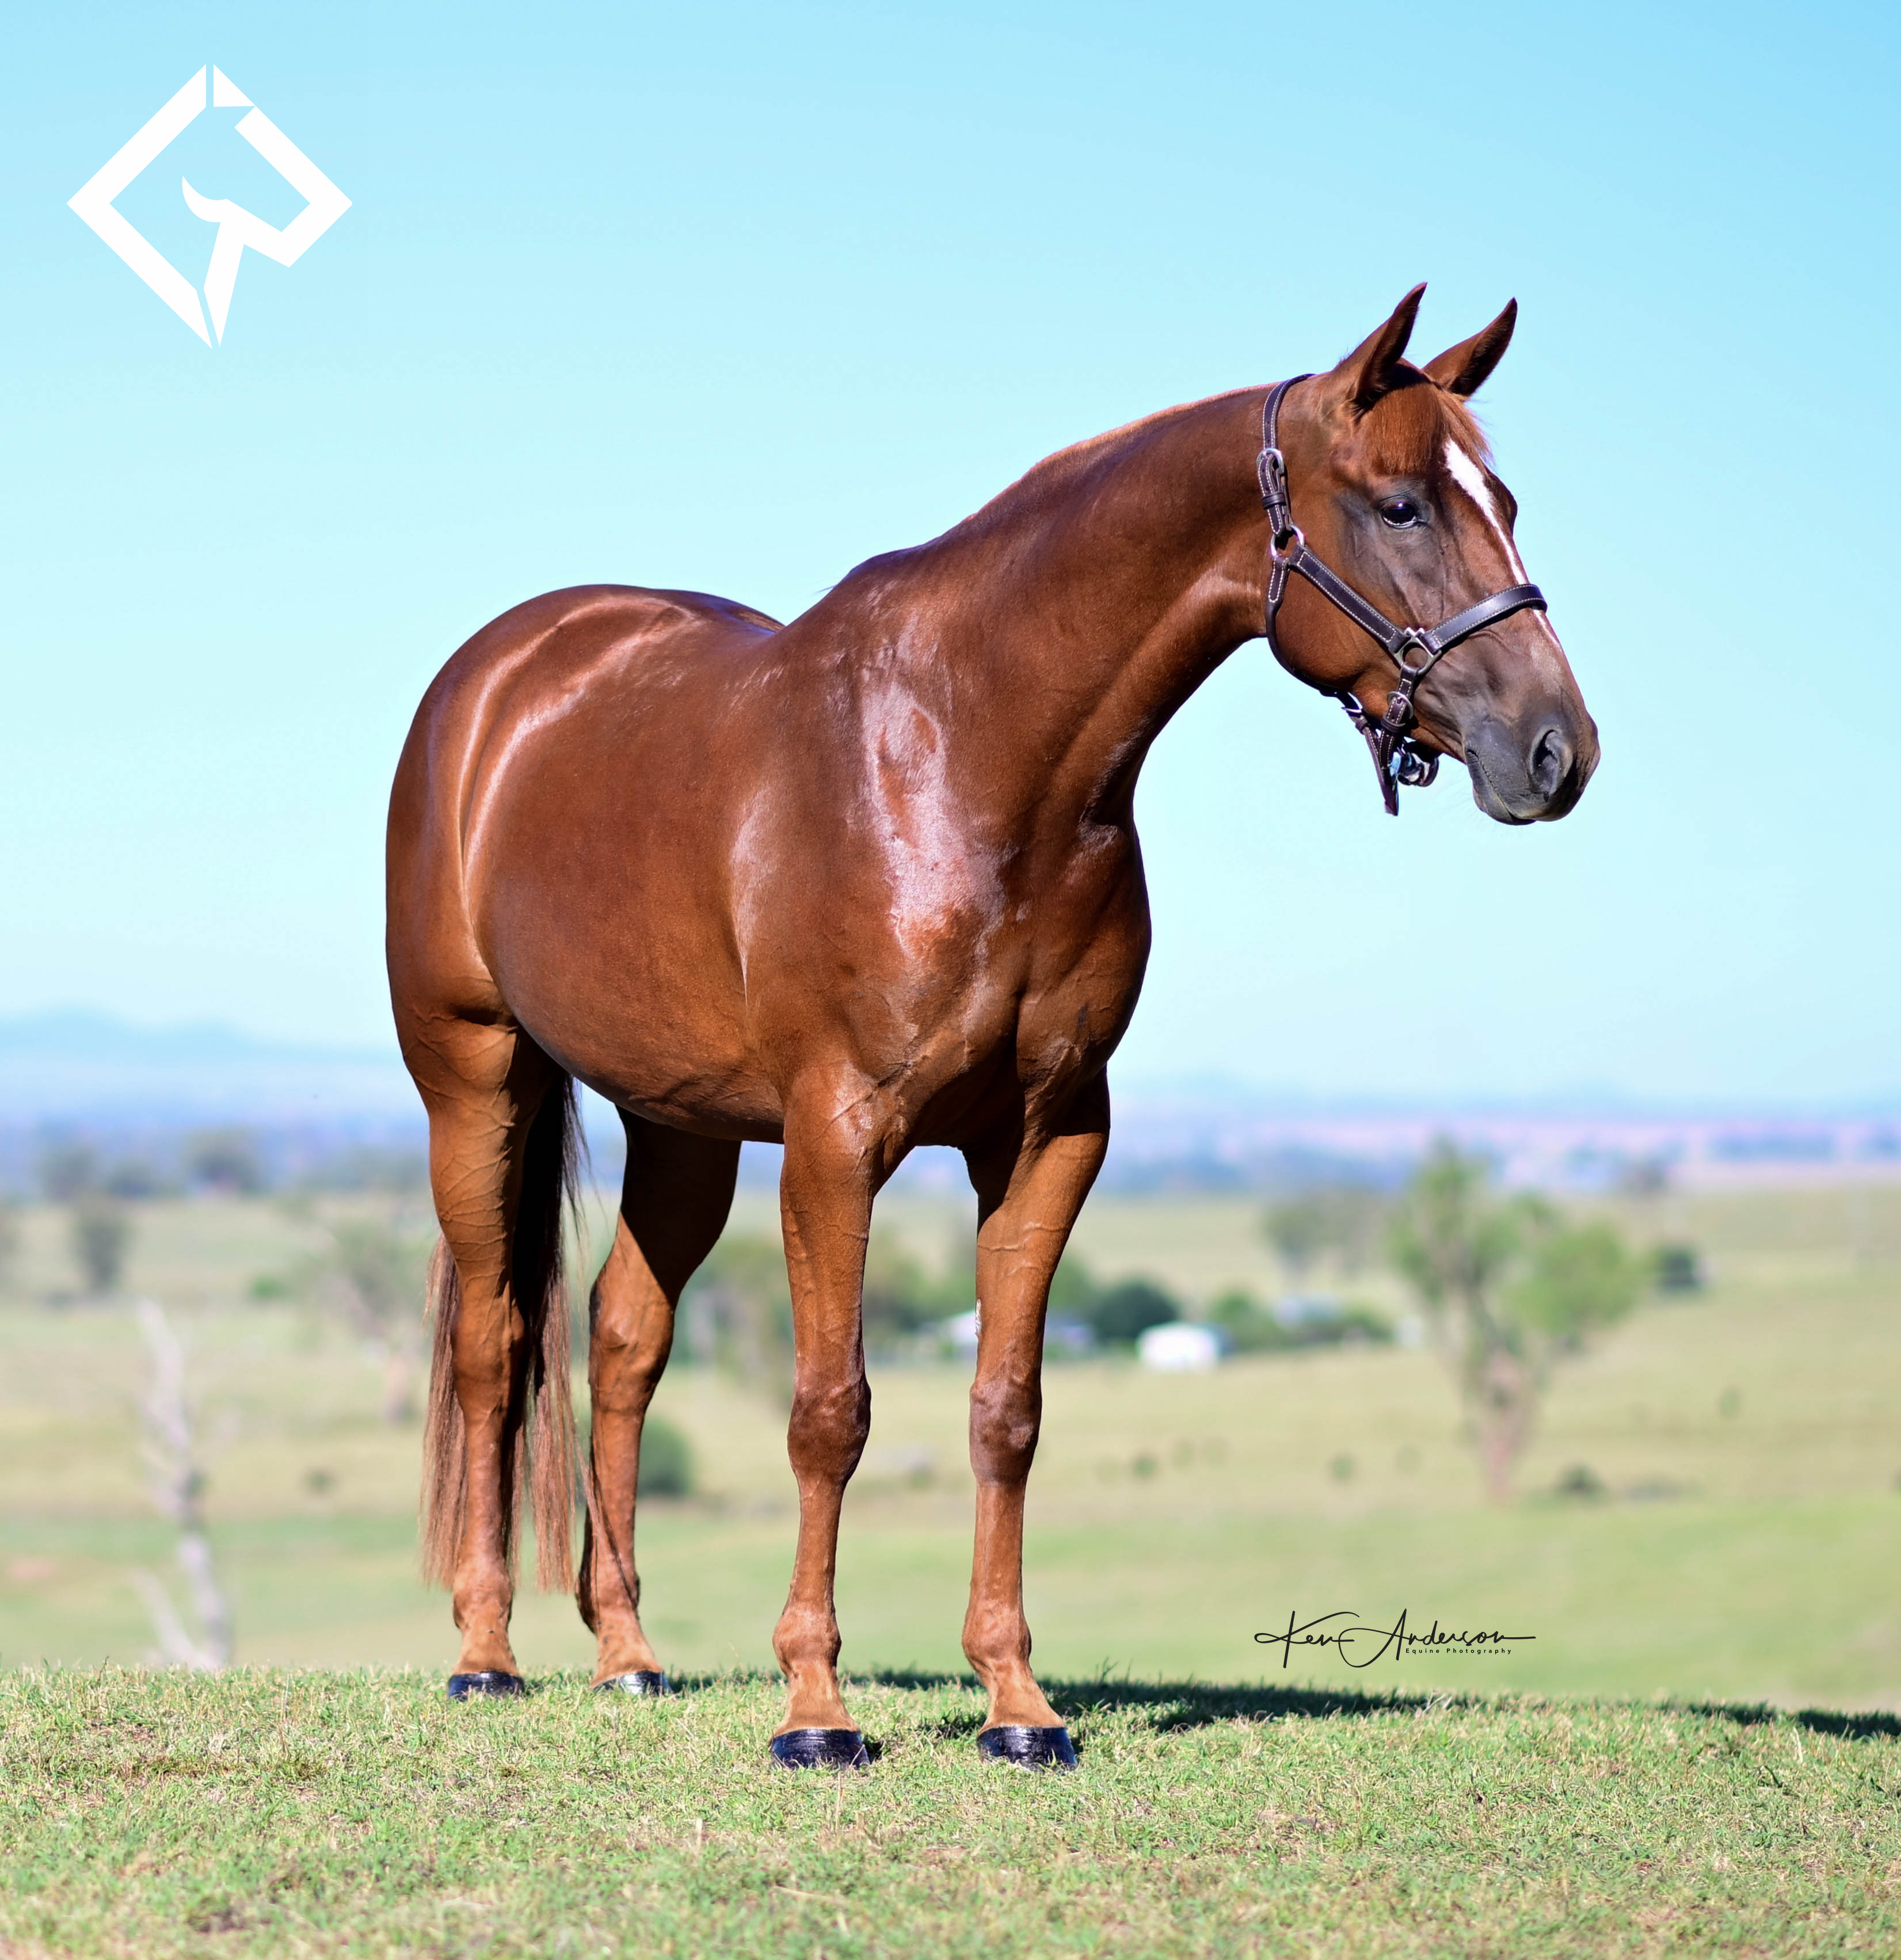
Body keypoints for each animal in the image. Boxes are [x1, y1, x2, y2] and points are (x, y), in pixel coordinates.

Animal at [385, 284, 1598, 1769]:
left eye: (1505, 500)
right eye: (1400, 504)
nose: (1553, 748)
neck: (968, 756)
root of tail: (501, 675)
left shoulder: (1046, 1133)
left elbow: (1004, 1410)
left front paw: (1017, 1704)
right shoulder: (836, 1136)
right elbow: (829, 1411)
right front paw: (815, 1708)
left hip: (679, 1122)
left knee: (621, 1342)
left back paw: (626, 1655)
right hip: (476, 1074)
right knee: (494, 1341)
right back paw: (485, 1653)